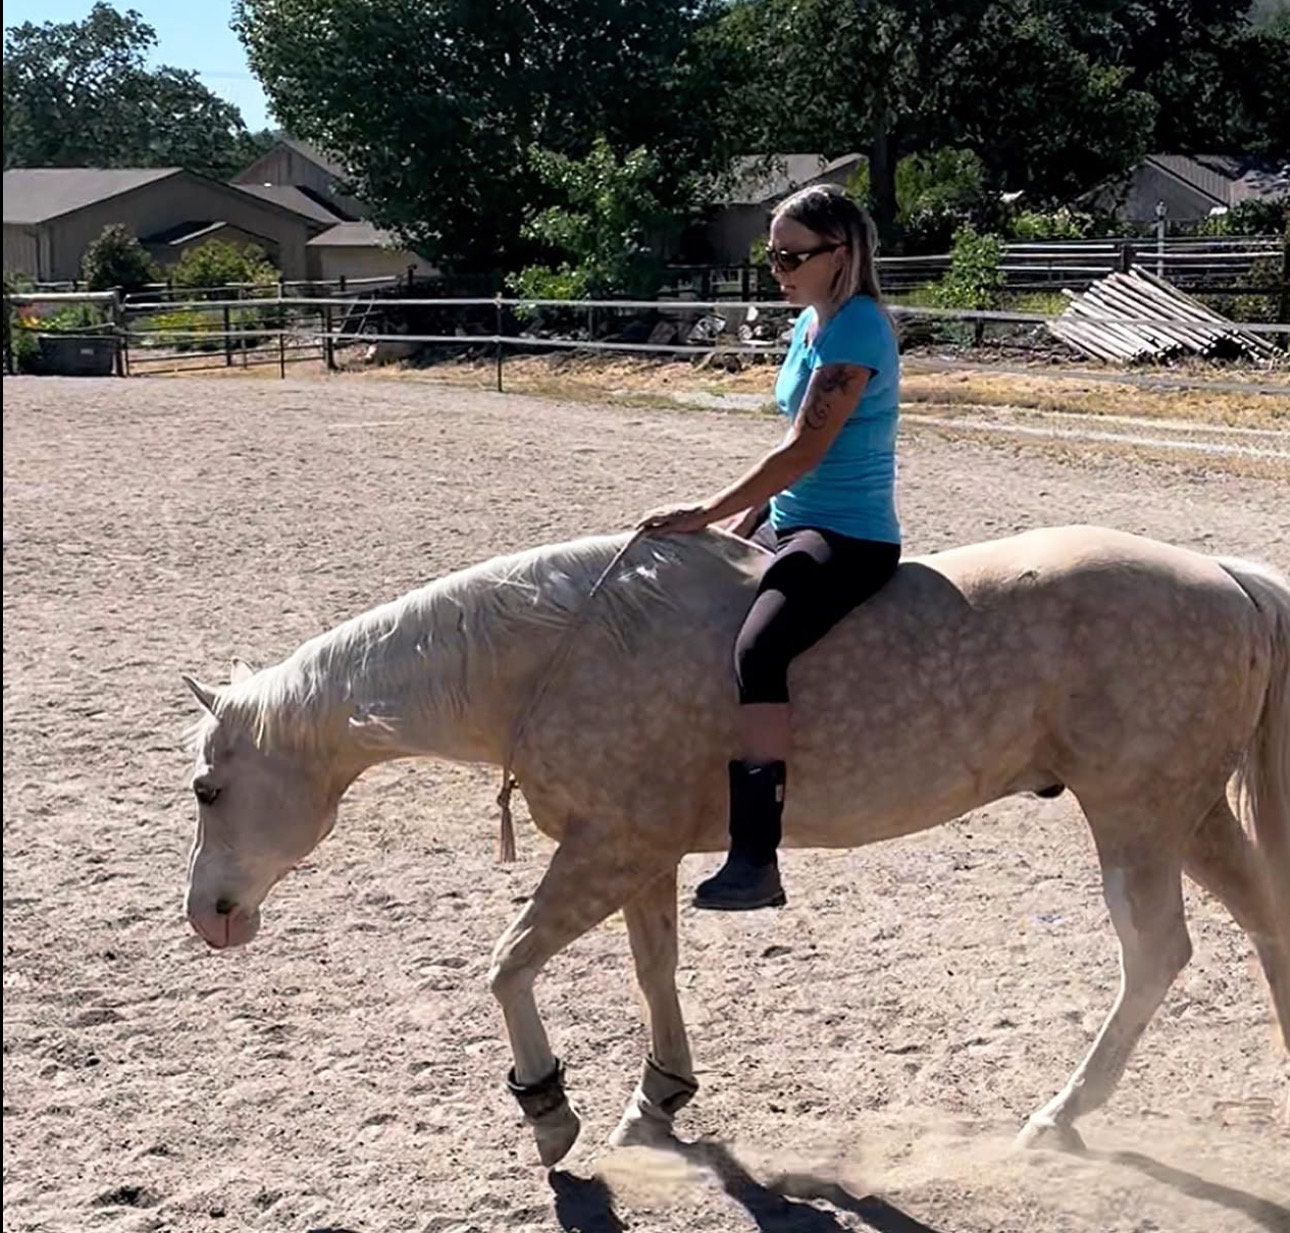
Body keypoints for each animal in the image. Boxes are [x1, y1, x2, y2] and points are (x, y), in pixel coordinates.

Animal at [180, 524, 1290, 1165]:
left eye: (207, 788)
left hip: (1136, 815)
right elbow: (653, 968)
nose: (208, 916)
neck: (561, 647)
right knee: (1265, 918)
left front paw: (550, 1108)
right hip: (1184, 812)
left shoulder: (607, 849)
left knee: (1156, 955)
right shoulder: (642, 854)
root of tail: (1227, 578)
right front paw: (658, 1097)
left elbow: (506, 967)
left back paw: (1060, 1116)